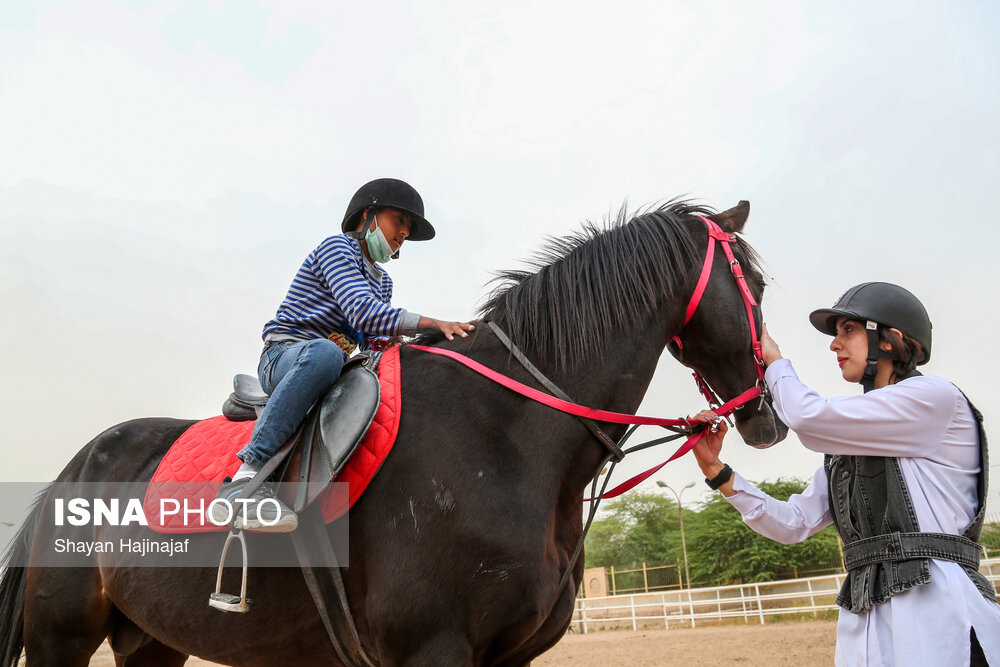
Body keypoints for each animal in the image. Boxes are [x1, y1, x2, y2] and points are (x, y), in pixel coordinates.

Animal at [0, 201, 788, 664]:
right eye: (755, 285)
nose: (769, 415)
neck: (508, 434)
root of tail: (71, 471)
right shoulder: (432, 648)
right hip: (61, 638)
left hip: (151, 641)